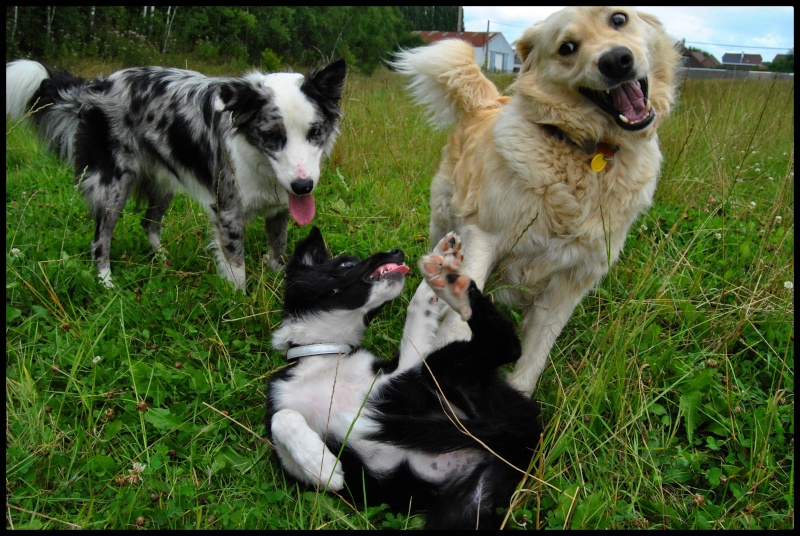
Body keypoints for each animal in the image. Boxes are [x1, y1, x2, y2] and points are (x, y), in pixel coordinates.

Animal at [4, 58, 346, 288]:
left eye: (316, 132)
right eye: (272, 135)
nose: (303, 186)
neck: (258, 159)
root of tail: (96, 86)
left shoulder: (279, 209)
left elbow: (278, 251)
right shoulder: (229, 211)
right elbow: (236, 268)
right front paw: (240, 303)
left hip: (163, 180)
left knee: (149, 222)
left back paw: (162, 259)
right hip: (113, 186)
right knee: (101, 239)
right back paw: (106, 281)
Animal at [268, 227, 544, 532]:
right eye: (346, 264)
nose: (396, 252)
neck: (326, 354)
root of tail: (522, 433)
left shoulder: (402, 374)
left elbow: (416, 315)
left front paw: (439, 260)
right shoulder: (291, 467)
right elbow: (283, 418)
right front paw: (322, 466)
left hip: (439, 369)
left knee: (508, 345)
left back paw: (451, 286)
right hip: (465, 508)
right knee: (507, 346)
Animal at [390, 6, 680, 396]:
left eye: (618, 19)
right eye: (567, 47)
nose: (616, 61)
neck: (584, 151)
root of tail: (487, 100)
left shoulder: (573, 281)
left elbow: (536, 351)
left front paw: (518, 393)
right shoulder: (485, 237)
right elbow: (461, 319)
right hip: (443, 214)